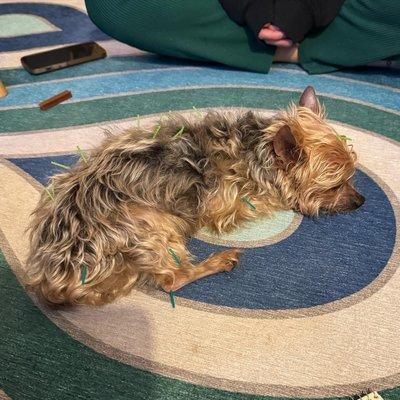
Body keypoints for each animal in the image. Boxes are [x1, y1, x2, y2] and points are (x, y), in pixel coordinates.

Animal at [26, 87, 366, 304]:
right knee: (171, 280)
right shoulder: (226, 204)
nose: (361, 201)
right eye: (333, 185)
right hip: (149, 222)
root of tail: (57, 274)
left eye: (353, 173)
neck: (256, 149)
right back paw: (219, 260)